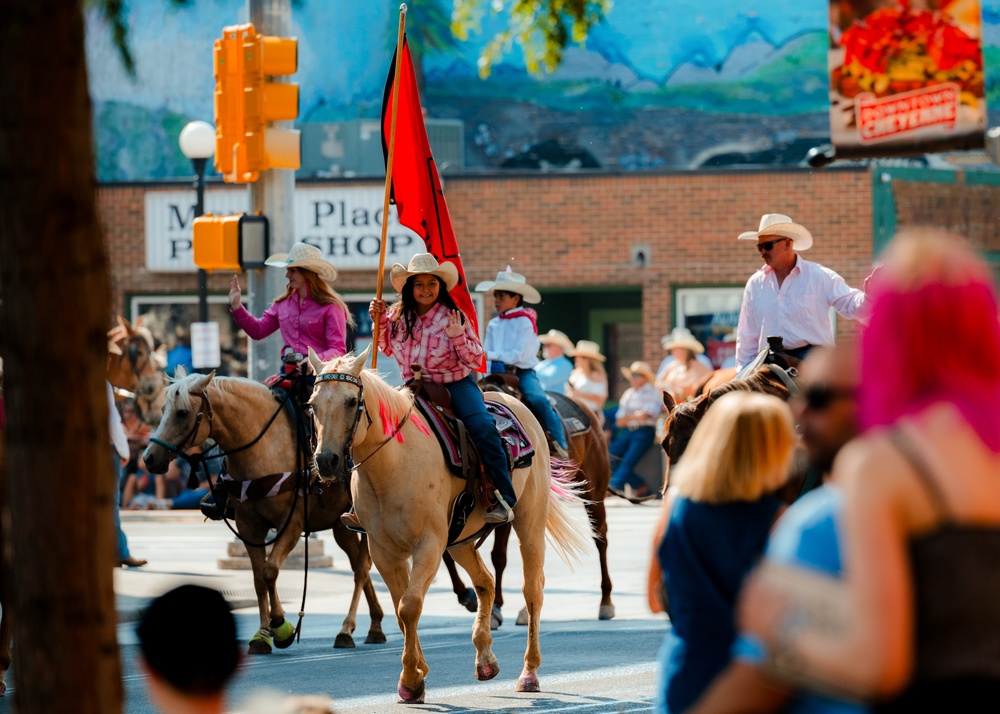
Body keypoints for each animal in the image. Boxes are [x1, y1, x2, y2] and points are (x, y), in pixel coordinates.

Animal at [143, 372, 384, 656]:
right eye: (162, 410)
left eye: (182, 413)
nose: (149, 458)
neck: (261, 451)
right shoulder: (249, 528)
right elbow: (259, 579)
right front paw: (262, 634)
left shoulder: (291, 526)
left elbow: (270, 570)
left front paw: (281, 625)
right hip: (339, 524)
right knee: (360, 566)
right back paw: (375, 625)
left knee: (361, 568)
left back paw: (347, 629)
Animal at [310, 350, 592, 700]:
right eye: (312, 404)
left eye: (351, 401)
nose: (326, 461)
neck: (393, 464)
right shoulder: (383, 551)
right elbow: (402, 610)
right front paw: (417, 674)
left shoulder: (429, 545)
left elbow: (409, 606)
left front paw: (411, 680)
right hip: (461, 540)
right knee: (485, 582)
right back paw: (485, 660)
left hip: (529, 522)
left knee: (532, 591)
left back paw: (529, 674)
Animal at [442, 378, 612, 624]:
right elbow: (448, 552)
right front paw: (469, 597)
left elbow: (498, 556)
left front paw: (495, 608)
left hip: (594, 492)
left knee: (600, 539)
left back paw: (606, 602)